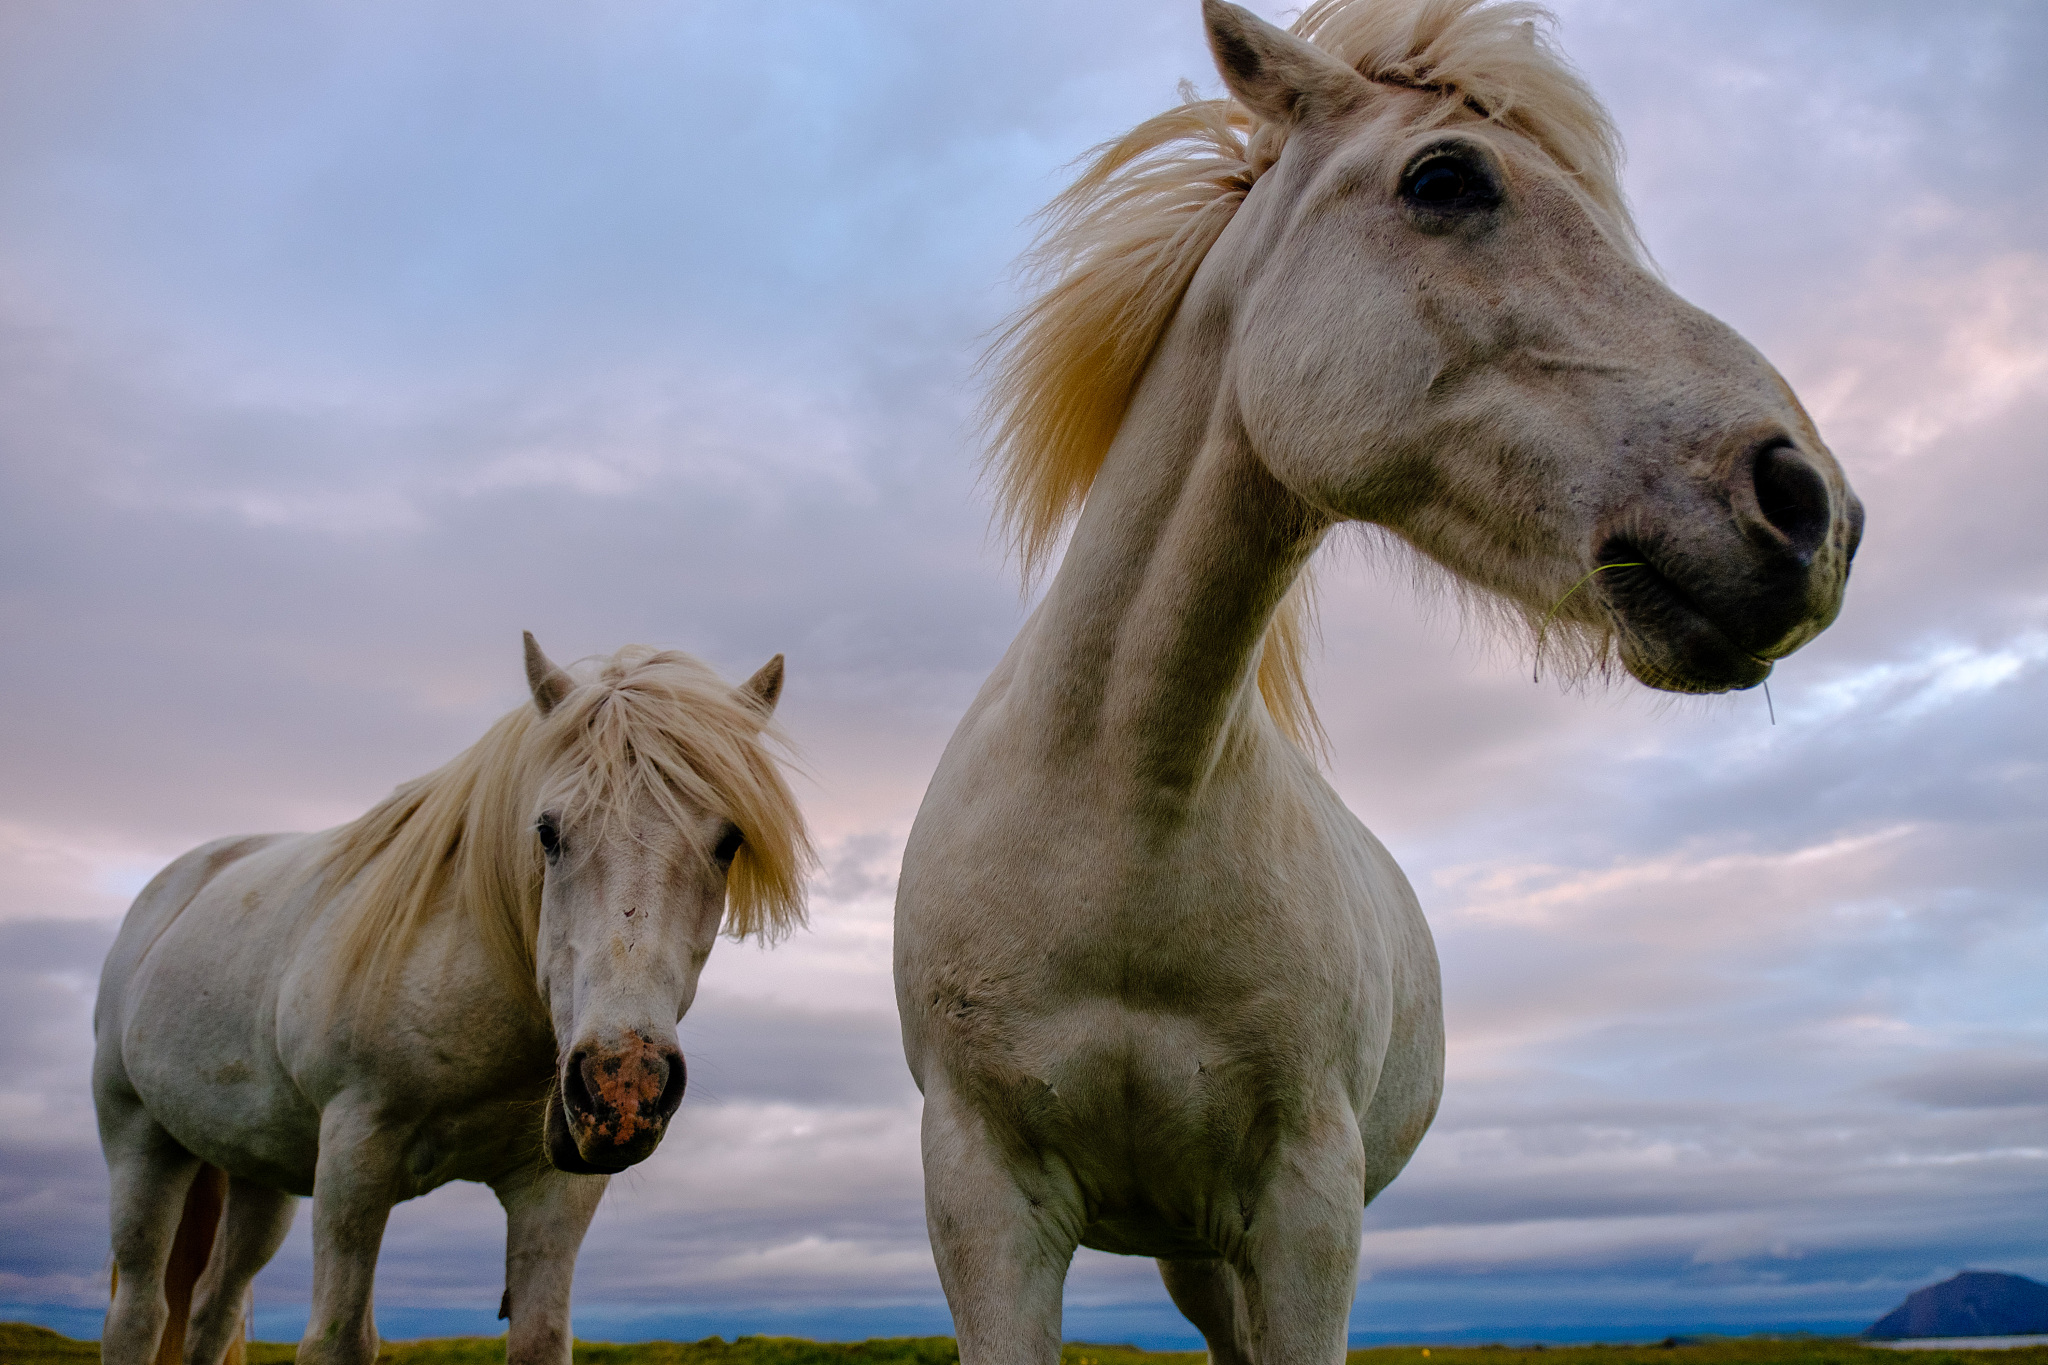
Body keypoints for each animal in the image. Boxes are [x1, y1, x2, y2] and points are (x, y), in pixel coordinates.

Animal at [95, 635, 812, 1365]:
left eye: (729, 841)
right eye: (547, 832)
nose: (624, 1083)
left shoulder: (556, 1192)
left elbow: (539, 1338)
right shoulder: (356, 1153)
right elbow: (337, 1337)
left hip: (261, 1174)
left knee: (213, 1307)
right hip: (141, 1144)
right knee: (140, 1313)